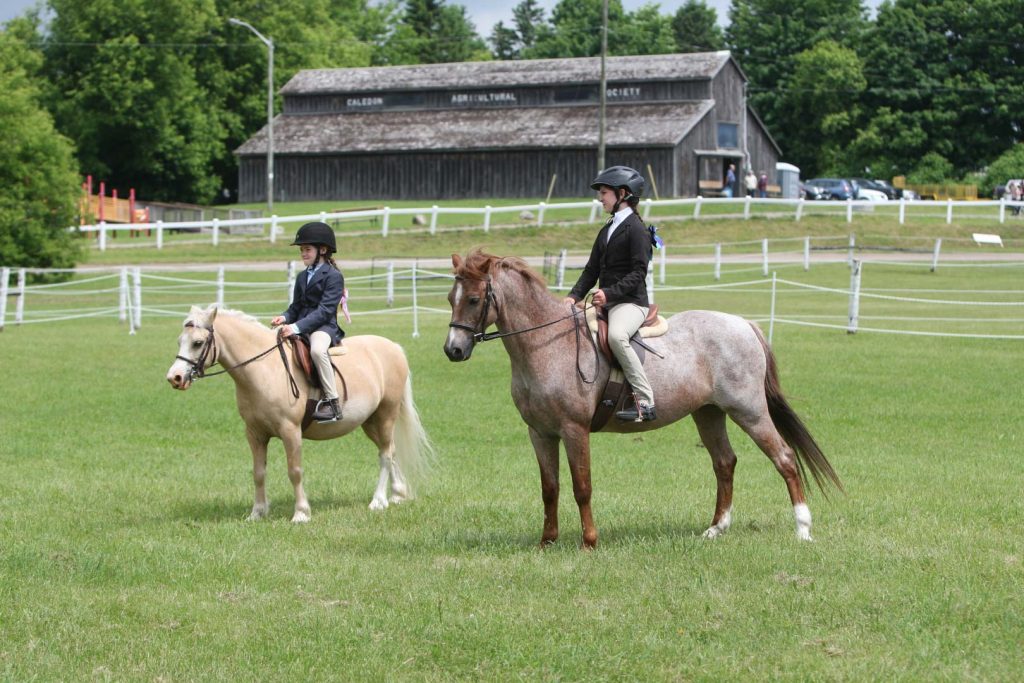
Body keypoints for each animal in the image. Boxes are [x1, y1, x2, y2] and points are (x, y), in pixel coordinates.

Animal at [165, 305, 430, 524]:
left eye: (198, 343)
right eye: (179, 341)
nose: (174, 378)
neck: (264, 368)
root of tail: (393, 347)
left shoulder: (290, 431)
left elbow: (295, 471)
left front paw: (301, 513)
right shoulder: (255, 434)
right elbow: (258, 473)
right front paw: (257, 512)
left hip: (386, 415)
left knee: (385, 455)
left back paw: (378, 501)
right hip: (370, 422)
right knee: (391, 451)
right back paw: (397, 495)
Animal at [446, 250, 839, 548]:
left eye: (474, 299)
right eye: (451, 299)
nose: (453, 350)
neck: (548, 344)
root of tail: (744, 324)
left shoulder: (574, 430)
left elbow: (582, 487)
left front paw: (589, 542)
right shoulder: (540, 433)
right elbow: (550, 488)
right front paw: (547, 542)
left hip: (749, 411)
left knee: (784, 458)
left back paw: (803, 530)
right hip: (709, 413)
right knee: (724, 463)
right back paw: (716, 529)